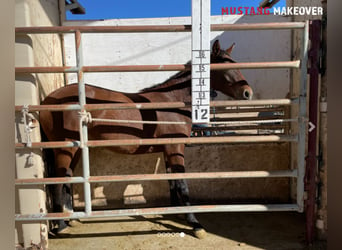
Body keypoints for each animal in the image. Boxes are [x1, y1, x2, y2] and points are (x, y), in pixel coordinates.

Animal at [40, 40, 254, 237]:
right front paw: (195, 223)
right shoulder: (175, 148)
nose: (247, 93)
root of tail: (47, 101)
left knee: (67, 178)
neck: (172, 102)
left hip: (75, 149)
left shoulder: (168, 149)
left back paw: (70, 219)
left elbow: (172, 181)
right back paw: (61, 225)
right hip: (65, 148)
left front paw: (176, 213)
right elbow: (182, 184)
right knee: (58, 181)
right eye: (225, 66)